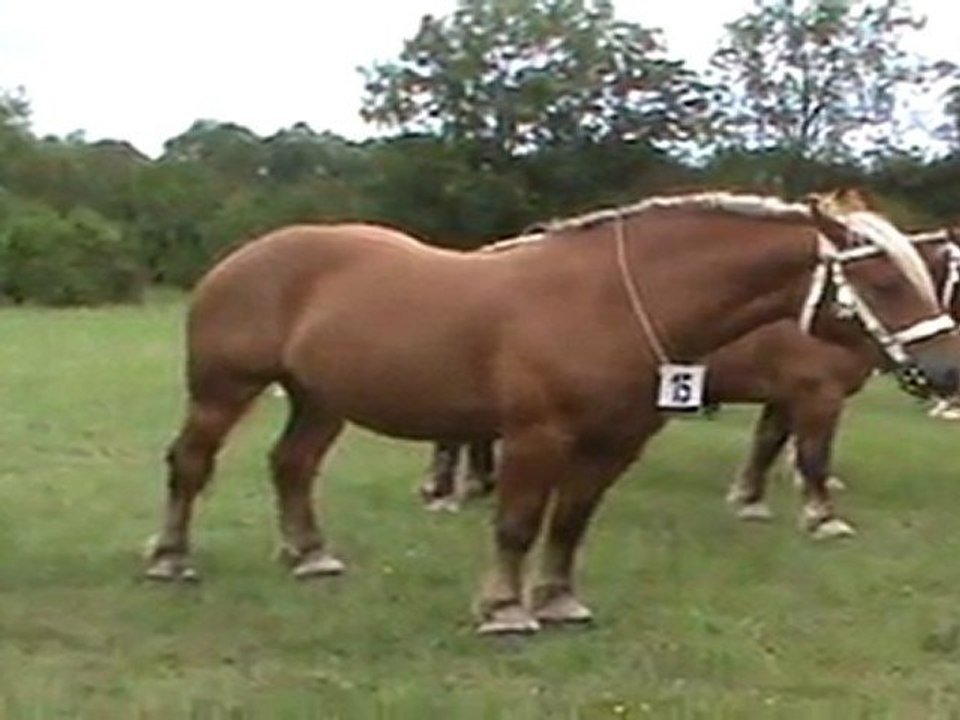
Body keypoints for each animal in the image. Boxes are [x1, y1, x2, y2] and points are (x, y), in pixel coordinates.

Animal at [421, 226, 960, 540]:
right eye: (888, 283)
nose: (948, 369)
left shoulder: (784, 397)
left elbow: (767, 445)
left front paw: (749, 501)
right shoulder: (815, 394)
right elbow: (812, 456)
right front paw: (823, 518)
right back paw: (444, 492)